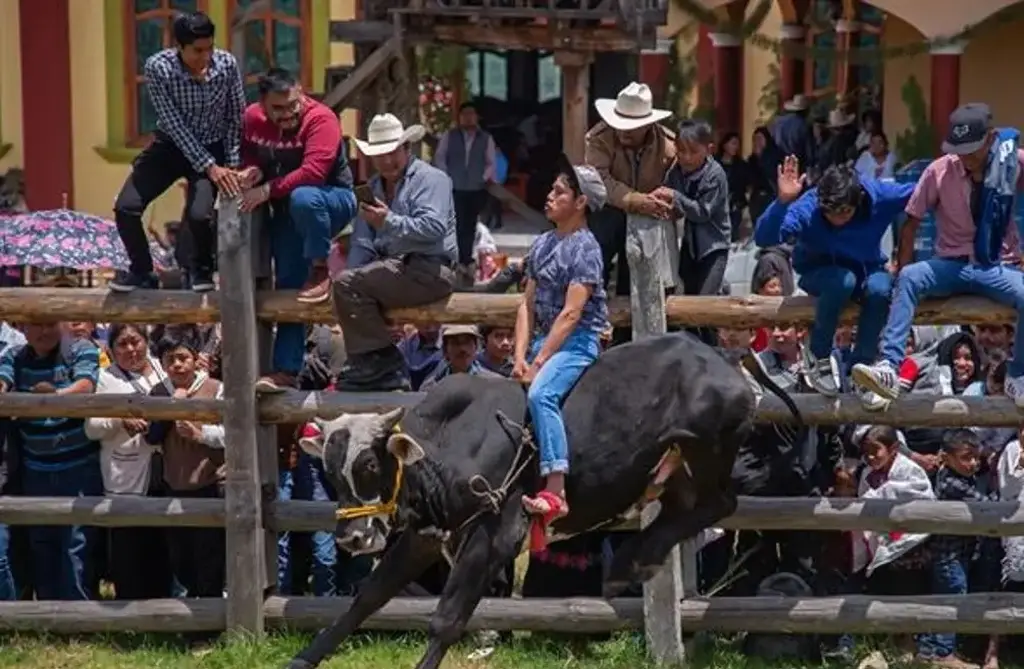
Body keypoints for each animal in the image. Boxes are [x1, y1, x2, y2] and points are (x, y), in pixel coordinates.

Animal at [288, 331, 798, 663]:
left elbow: (446, 618)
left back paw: (629, 560)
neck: (450, 445)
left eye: (370, 466)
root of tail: (724, 355)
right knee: (684, 510)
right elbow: (367, 598)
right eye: (330, 472)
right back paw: (632, 560)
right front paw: (305, 658)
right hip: (675, 468)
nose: (352, 538)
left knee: (719, 505)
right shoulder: (426, 536)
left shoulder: (494, 535)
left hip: (705, 451)